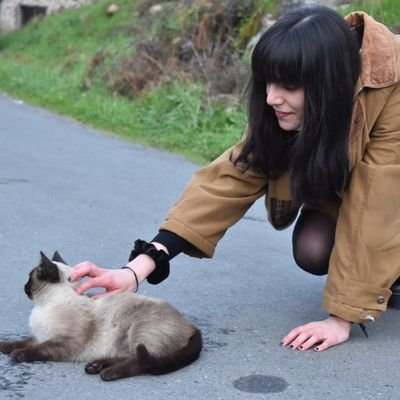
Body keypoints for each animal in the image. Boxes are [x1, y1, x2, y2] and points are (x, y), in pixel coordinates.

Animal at [0, 252, 202, 380]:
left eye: (29, 278)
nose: (24, 287)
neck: (45, 306)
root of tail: (193, 327)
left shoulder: (63, 342)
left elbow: (37, 349)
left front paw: (17, 354)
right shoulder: (41, 335)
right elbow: (23, 341)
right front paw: (4, 346)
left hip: (139, 331)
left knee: (140, 363)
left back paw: (106, 373)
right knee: (128, 356)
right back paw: (95, 366)